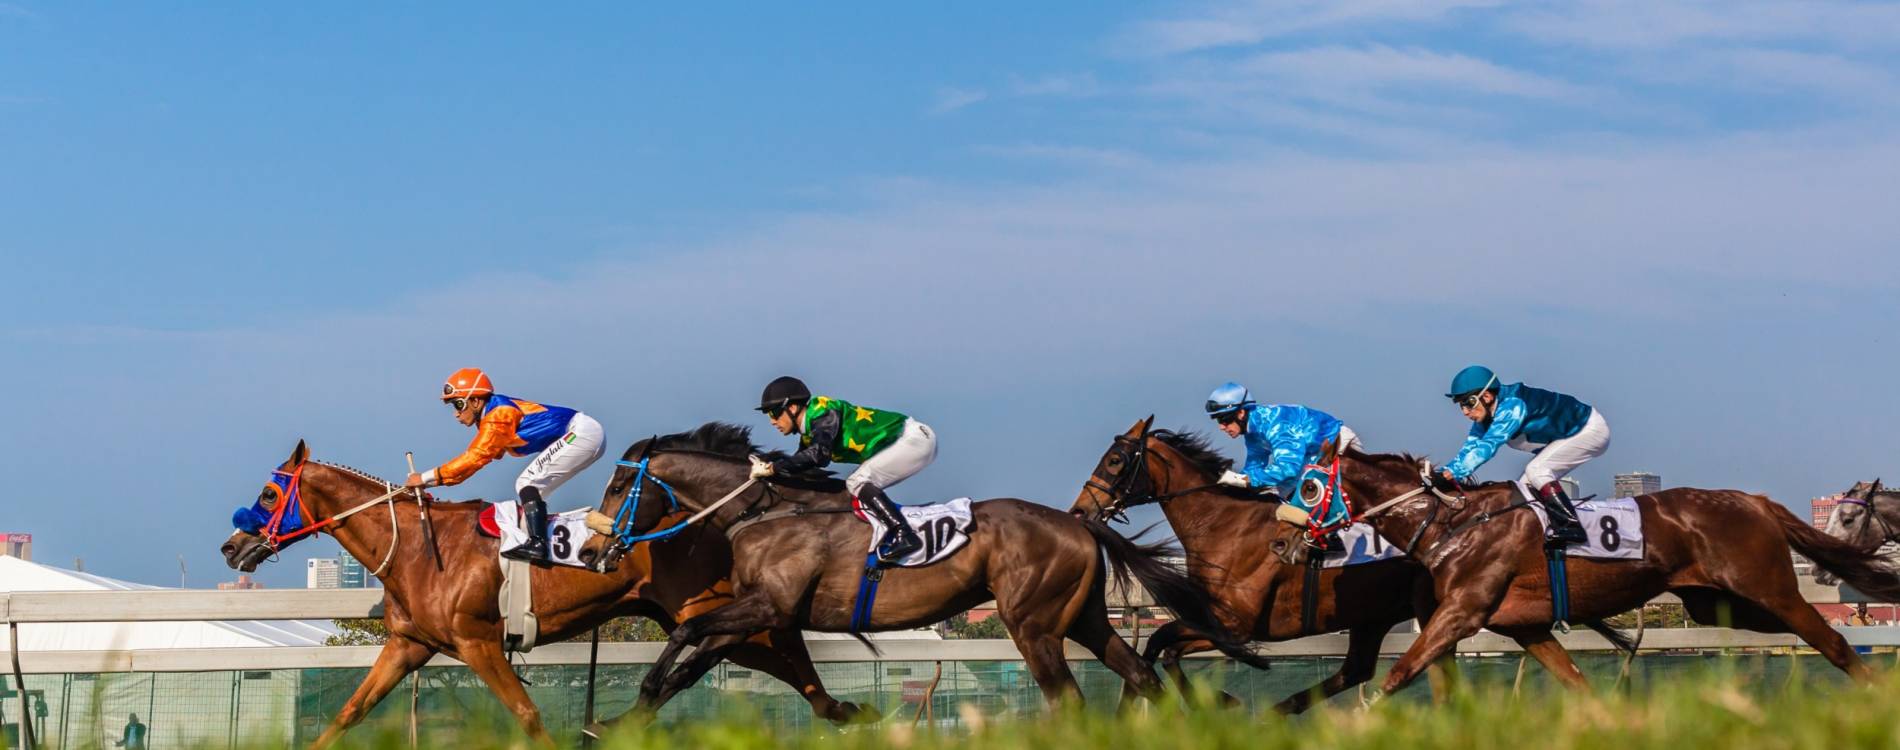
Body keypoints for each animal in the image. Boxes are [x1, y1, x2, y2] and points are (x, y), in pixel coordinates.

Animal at [219, 441, 869, 749]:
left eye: (270, 495)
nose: (231, 547)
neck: (420, 549)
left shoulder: (478, 643)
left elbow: (528, 714)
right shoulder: (409, 645)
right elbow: (349, 711)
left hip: (712, 612)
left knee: (782, 654)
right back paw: (849, 712)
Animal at [574, 423, 1269, 715]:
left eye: (619, 486)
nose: (589, 552)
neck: (764, 510)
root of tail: (1079, 522)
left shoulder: (769, 607)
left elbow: (690, 633)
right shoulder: (757, 615)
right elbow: (688, 664)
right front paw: (622, 719)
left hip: (1032, 624)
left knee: (1068, 697)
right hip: (1086, 618)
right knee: (1140, 676)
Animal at [1068, 417, 1449, 712]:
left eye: (1115, 460)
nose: (1080, 510)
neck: (1223, 523)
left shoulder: (1235, 625)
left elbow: (1163, 640)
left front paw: (1217, 702)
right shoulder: (1219, 622)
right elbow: (1162, 648)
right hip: (1373, 616)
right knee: (1358, 669)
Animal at [1332, 447, 1900, 696]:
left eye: (1313, 484)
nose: (1312, 540)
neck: (1454, 520)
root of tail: (1755, 501)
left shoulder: (1464, 612)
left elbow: (1401, 672)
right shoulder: (1523, 624)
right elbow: (1575, 680)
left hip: (1770, 588)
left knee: (1833, 642)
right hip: (1720, 603)